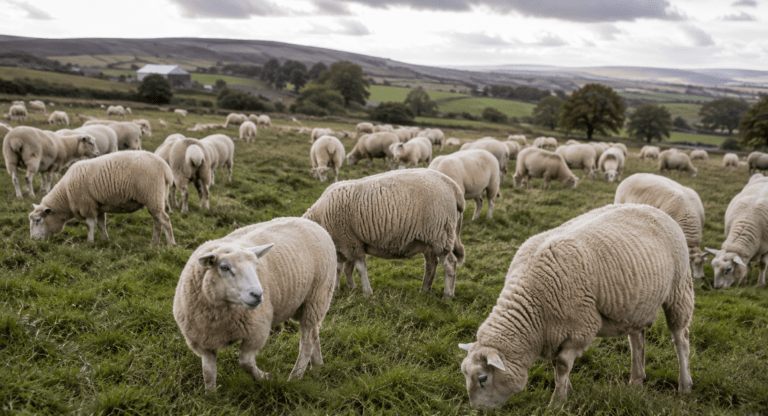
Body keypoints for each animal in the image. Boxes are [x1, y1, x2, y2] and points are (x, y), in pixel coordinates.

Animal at [28, 151, 175, 245]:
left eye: (38, 220)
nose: (33, 241)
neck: (66, 196)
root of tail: (166, 168)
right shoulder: (98, 206)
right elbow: (101, 225)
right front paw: (105, 240)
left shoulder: (87, 205)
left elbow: (89, 225)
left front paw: (89, 242)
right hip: (155, 199)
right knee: (157, 222)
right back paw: (154, 243)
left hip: (153, 196)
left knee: (165, 220)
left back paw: (170, 245)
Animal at [173, 217, 336, 389]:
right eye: (224, 267)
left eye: (256, 265)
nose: (257, 295)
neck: (220, 316)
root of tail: (308, 221)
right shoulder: (202, 342)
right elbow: (208, 373)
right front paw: (210, 394)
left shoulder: (257, 331)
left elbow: (245, 363)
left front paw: (265, 378)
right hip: (306, 305)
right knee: (314, 333)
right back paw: (317, 366)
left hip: (317, 297)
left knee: (307, 342)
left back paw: (296, 376)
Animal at [303, 168, 465, 297]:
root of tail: (454, 188)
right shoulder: (349, 242)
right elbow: (343, 268)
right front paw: (345, 288)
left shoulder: (348, 241)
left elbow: (359, 269)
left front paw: (367, 292)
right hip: (429, 240)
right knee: (431, 264)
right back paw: (424, 290)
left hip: (440, 234)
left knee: (450, 264)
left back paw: (448, 295)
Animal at [459, 204, 694, 408]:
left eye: (482, 378)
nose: (477, 410)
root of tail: (653, 208)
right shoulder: (554, 331)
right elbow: (556, 365)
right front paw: (566, 390)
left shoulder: (580, 329)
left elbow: (562, 365)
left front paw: (557, 402)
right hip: (636, 304)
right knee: (637, 340)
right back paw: (636, 381)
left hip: (679, 288)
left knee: (680, 339)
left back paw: (685, 385)